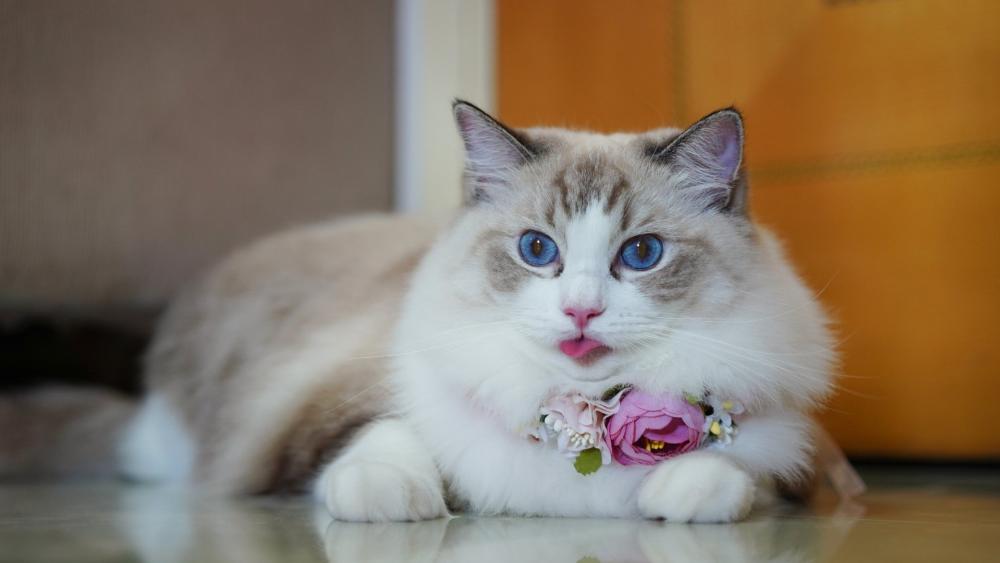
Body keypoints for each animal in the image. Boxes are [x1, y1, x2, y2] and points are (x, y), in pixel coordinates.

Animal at [13, 100, 836, 524]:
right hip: (175, 439)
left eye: (641, 255)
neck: (578, 421)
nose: (580, 313)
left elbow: (735, 472)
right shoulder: (337, 409)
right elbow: (383, 440)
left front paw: (688, 487)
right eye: (537, 249)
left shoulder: (776, 442)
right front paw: (392, 499)